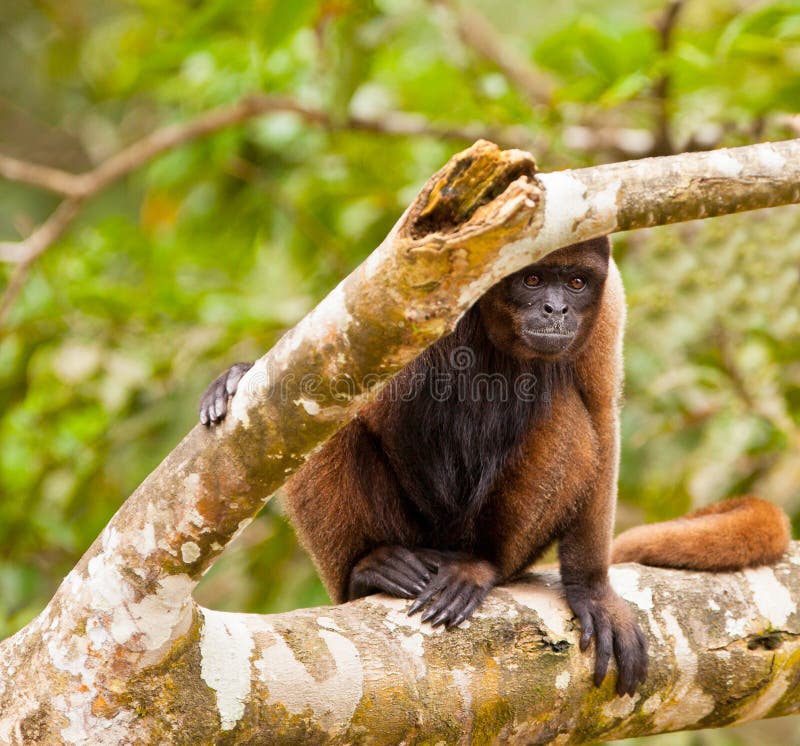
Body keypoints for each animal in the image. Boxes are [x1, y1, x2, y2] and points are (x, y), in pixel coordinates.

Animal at [202, 235, 792, 696]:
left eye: (576, 283)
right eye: (531, 279)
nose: (555, 310)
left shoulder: (610, 305)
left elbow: (602, 418)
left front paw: (593, 590)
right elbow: (336, 380)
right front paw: (239, 374)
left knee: (565, 410)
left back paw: (479, 567)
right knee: (325, 417)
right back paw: (368, 568)